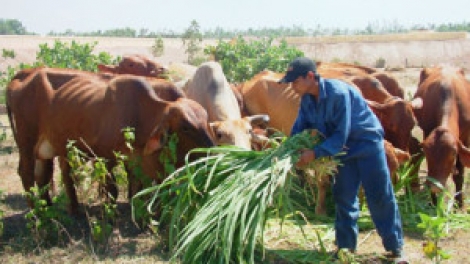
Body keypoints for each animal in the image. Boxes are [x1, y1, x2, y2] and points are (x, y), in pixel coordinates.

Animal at [6, 67, 215, 213]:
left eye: (206, 120)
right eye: (186, 127)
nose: (212, 151)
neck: (138, 113)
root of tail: (22, 77)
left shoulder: (134, 159)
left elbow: (137, 185)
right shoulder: (104, 157)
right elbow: (112, 189)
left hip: (48, 149)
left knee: (44, 175)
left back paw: (54, 207)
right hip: (27, 143)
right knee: (27, 174)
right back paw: (38, 212)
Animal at [414, 66, 470, 208]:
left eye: (453, 153)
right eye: (427, 153)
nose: (435, 186)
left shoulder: (466, 138)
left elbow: (459, 175)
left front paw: (459, 203)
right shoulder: (427, 130)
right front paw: (434, 204)